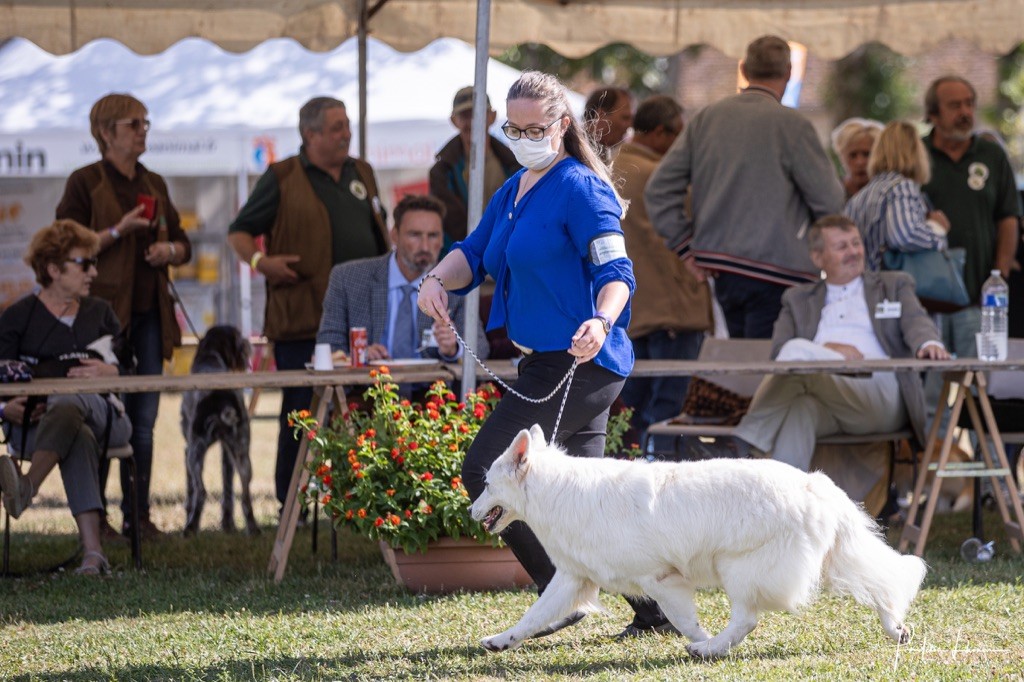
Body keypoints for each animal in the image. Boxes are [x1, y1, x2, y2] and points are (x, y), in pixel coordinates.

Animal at [471, 421, 929, 655]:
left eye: (487, 484)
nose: (471, 511)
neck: (557, 490)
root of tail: (817, 485)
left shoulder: (660, 579)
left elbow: (685, 622)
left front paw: (703, 641)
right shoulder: (571, 578)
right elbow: (532, 617)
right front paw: (501, 641)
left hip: (740, 569)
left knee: (746, 619)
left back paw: (712, 649)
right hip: (834, 562)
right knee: (880, 585)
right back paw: (895, 629)